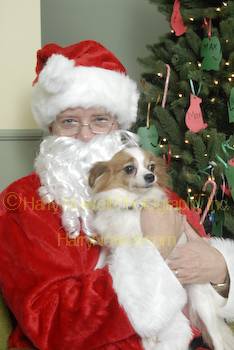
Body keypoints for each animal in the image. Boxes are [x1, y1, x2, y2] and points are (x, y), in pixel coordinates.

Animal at [88, 146, 234, 350]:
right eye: (129, 169)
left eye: (151, 167)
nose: (151, 176)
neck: (132, 205)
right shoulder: (109, 247)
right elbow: (98, 266)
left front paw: (150, 336)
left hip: (201, 303)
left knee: (218, 340)